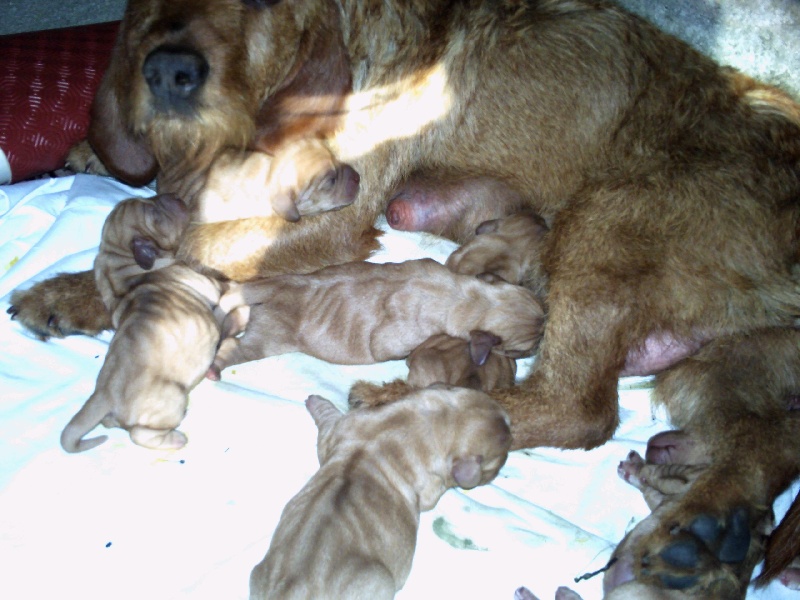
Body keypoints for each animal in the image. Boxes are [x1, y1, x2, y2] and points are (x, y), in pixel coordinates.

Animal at [60, 195, 223, 452]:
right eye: (155, 213)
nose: (173, 196)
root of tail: (104, 394)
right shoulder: (203, 281)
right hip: (171, 399)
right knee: (140, 434)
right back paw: (177, 438)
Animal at [209, 258, 544, 380]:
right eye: (522, 350)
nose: (542, 342)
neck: (466, 296)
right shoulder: (392, 340)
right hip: (269, 337)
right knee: (236, 348)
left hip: (267, 289)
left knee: (236, 303)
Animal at [250, 386, 512, 596]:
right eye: (502, 456)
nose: (506, 460)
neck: (438, 418)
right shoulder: (430, 485)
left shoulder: (341, 427)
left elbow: (328, 419)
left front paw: (316, 401)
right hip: (380, 582)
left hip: (256, 574)